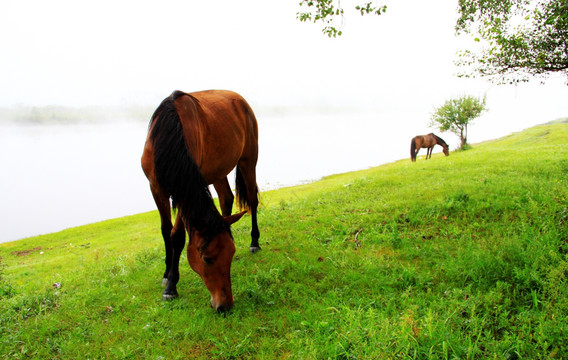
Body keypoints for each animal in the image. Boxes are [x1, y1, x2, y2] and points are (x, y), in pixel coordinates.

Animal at [141, 88, 260, 310]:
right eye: (207, 259)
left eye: (230, 255)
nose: (225, 305)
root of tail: (240, 100)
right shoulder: (156, 189)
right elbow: (166, 231)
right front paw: (167, 276)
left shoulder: (183, 190)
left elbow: (177, 235)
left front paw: (171, 285)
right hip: (218, 171)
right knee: (226, 198)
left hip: (248, 160)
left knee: (252, 200)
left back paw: (255, 242)